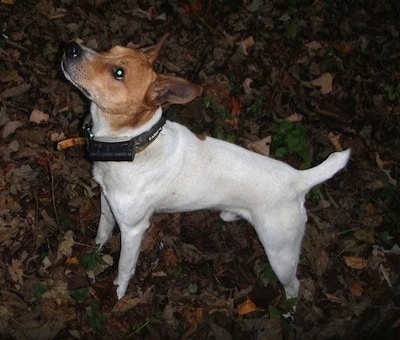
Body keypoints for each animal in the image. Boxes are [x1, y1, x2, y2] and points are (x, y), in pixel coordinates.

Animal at [60, 37, 350, 302]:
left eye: (118, 72)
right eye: (109, 48)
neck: (133, 144)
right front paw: (95, 252)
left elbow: (124, 267)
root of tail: (298, 179)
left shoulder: (133, 229)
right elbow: (102, 231)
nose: (72, 46)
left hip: (280, 253)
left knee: (294, 285)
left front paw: (117, 293)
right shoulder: (107, 201)